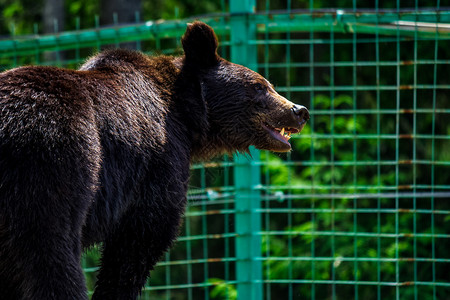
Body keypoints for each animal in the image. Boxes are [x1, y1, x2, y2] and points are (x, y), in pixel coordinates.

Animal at [0, 21, 310, 298]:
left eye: (269, 84)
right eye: (259, 86)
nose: (299, 110)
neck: (188, 117)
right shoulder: (158, 159)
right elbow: (144, 233)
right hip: (53, 160)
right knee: (52, 253)